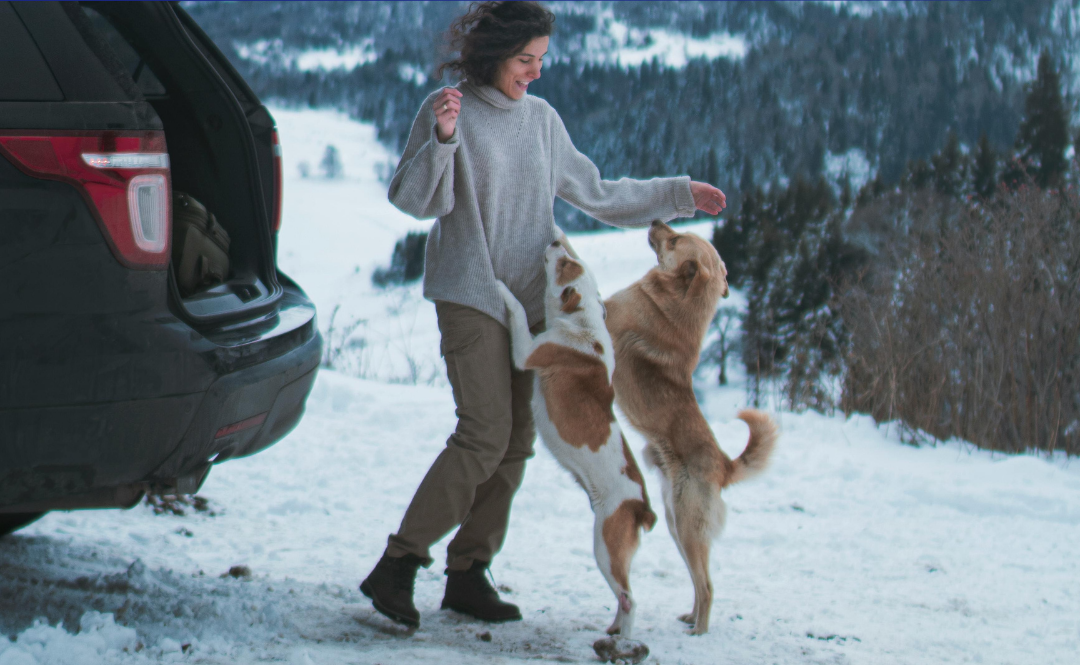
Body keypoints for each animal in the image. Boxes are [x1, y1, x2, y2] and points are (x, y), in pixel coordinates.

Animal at [497, 239, 654, 660]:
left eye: (566, 263)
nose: (555, 241)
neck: (583, 323)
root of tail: (642, 507)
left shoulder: (529, 352)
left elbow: (518, 311)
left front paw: (501, 287)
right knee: (623, 597)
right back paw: (613, 630)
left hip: (605, 545)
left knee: (632, 598)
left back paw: (624, 642)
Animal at [604, 221, 778, 635]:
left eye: (676, 239)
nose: (655, 222)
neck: (677, 302)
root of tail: (725, 466)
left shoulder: (606, 315)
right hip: (676, 525)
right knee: (700, 584)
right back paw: (690, 617)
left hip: (686, 527)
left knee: (708, 585)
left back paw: (700, 630)